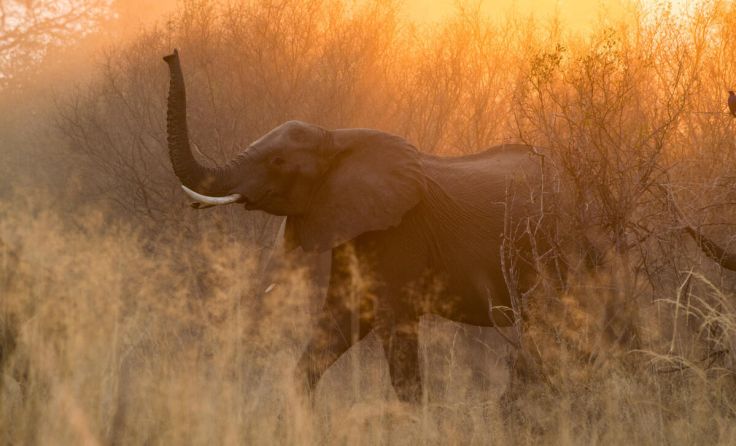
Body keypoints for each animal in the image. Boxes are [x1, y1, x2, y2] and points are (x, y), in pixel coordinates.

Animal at [162, 49, 557, 402]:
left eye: (277, 162)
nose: (170, 55)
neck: (336, 137)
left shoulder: (398, 233)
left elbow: (392, 326)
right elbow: (341, 318)